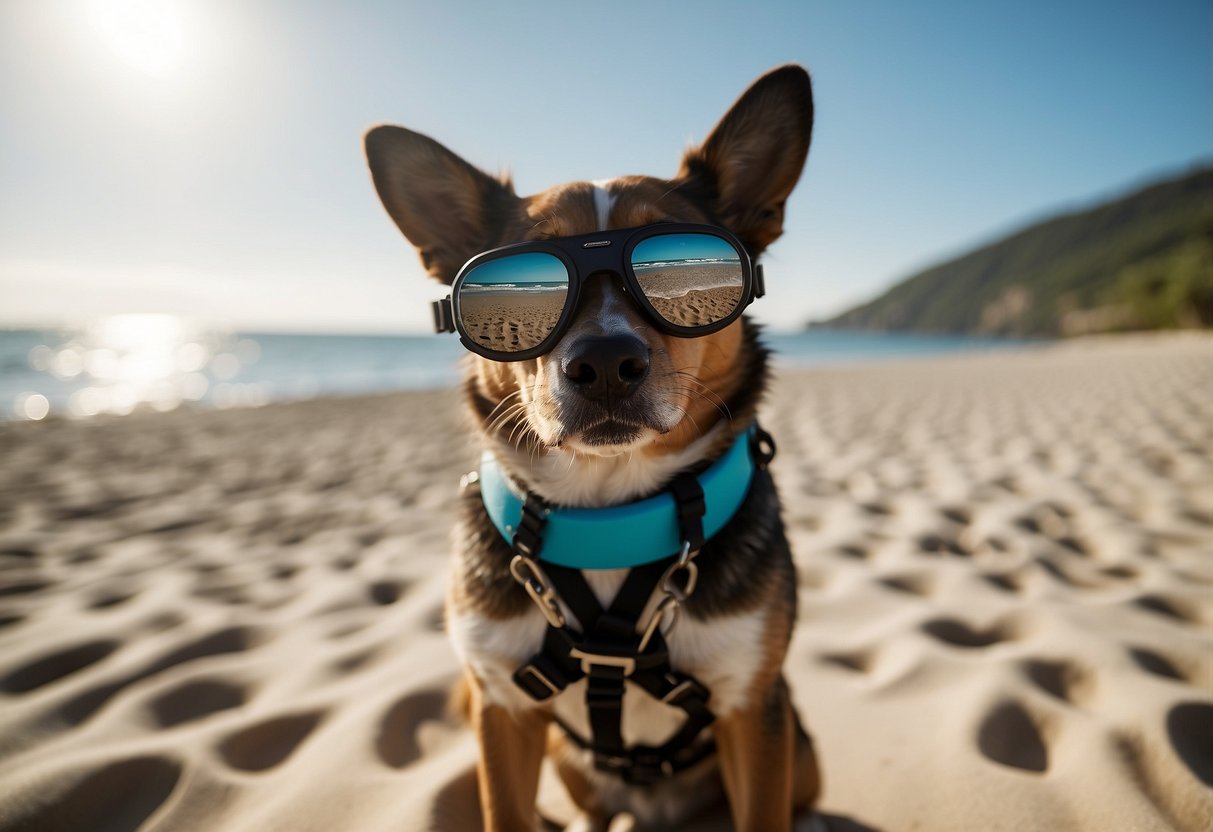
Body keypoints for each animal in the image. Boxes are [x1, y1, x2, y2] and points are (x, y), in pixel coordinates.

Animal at [363, 63, 819, 832]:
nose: (604, 363)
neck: (609, 516)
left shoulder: (754, 708)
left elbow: (765, 810)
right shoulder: (502, 712)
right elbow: (506, 813)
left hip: (799, 743)